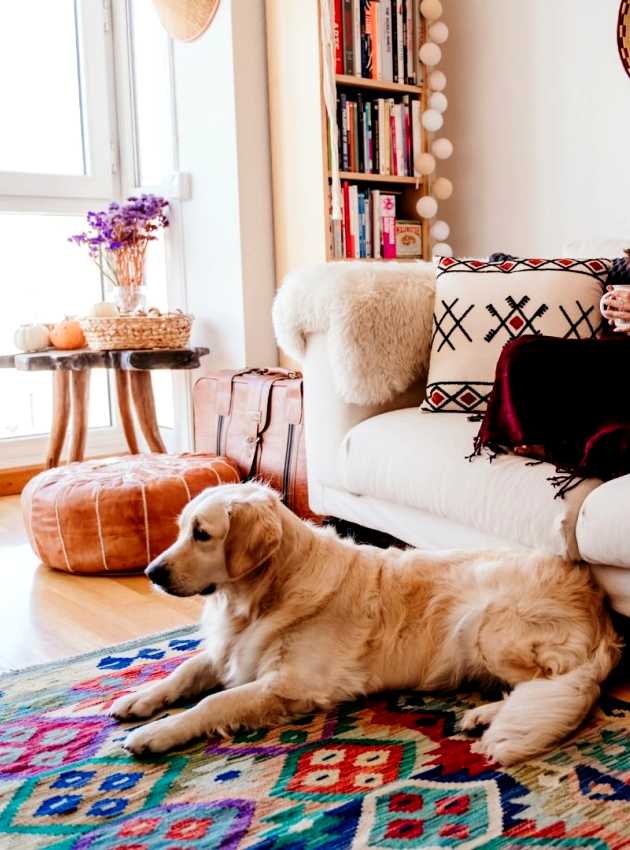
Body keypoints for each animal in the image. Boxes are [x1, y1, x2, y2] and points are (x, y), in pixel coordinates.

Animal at [111, 480, 624, 764]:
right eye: (182, 529)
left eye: (202, 534)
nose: (152, 573)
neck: (264, 595)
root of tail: (597, 605)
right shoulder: (232, 651)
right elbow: (184, 670)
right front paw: (139, 700)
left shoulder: (293, 684)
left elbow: (211, 704)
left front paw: (156, 734)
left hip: (485, 624)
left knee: (551, 683)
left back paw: (484, 716)